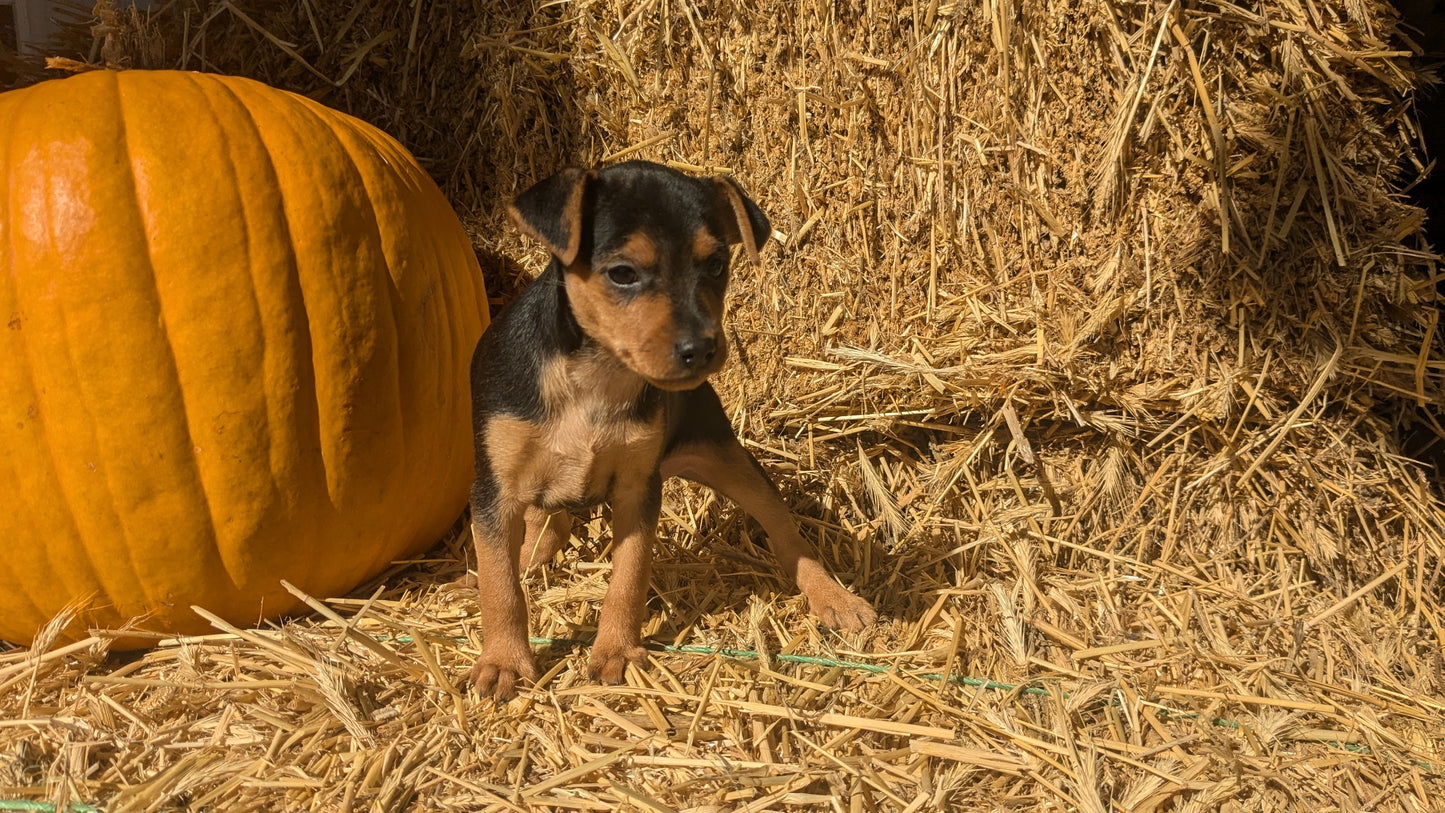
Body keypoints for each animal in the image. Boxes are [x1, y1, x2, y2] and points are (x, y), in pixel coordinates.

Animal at [465, 161, 867, 698]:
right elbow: (500, 585)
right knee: (543, 528)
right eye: (622, 273)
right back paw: (524, 558)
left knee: (787, 534)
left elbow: (628, 579)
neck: (594, 377)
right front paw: (504, 661)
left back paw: (835, 597)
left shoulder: (639, 487)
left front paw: (616, 651)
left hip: (729, 459)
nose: (702, 348)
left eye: (716, 265)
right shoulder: (495, 490)